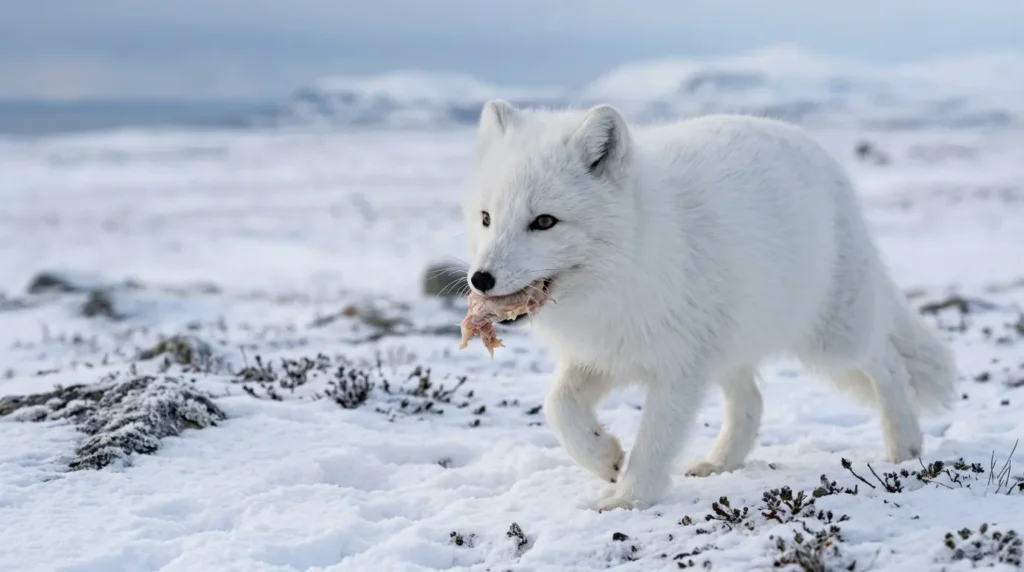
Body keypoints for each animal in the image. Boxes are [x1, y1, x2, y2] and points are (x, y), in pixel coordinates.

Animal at [460, 99, 957, 511]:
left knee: (886, 360)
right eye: (486, 218)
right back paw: (721, 463)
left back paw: (905, 445)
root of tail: (817, 151)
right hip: (729, 347)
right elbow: (558, 406)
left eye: (544, 222)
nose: (480, 279)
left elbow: (655, 441)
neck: (630, 262)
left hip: (832, 341)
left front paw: (629, 499)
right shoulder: (603, 352)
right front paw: (604, 457)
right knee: (751, 401)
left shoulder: (678, 367)